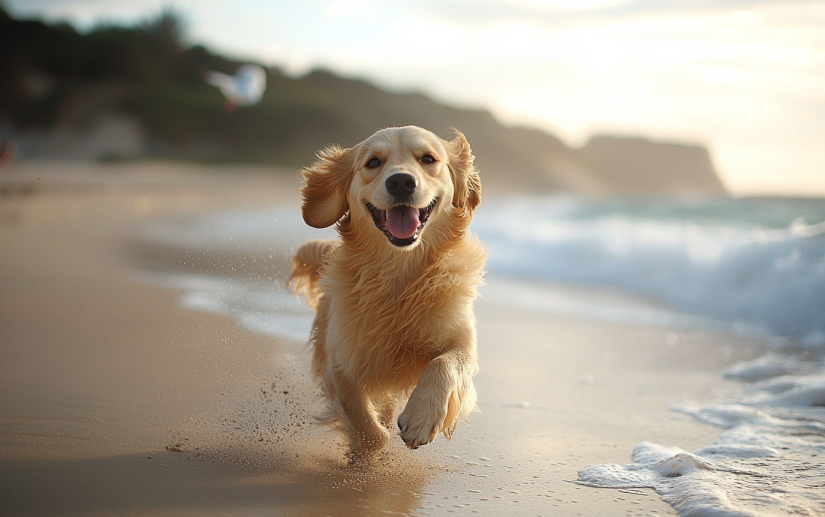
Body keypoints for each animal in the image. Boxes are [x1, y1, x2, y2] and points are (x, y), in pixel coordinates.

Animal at [288, 125, 486, 456]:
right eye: (373, 162)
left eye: (428, 158)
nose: (401, 182)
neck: (399, 272)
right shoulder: (339, 360)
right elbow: (367, 427)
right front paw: (365, 453)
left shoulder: (461, 339)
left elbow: (446, 362)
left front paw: (422, 416)